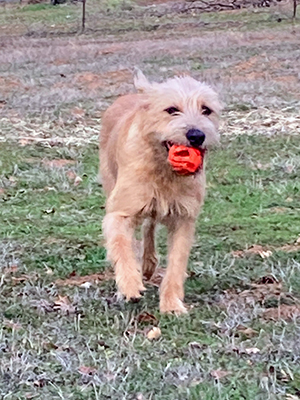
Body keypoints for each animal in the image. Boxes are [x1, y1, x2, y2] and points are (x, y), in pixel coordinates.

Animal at [99, 71, 221, 316]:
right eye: (171, 109)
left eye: (206, 110)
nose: (197, 135)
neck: (164, 168)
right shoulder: (120, 211)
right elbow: (120, 244)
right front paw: (129, 284)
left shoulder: (184, 218)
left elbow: (176, 263)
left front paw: (172, 303)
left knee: (149, 226)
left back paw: (148, 263)